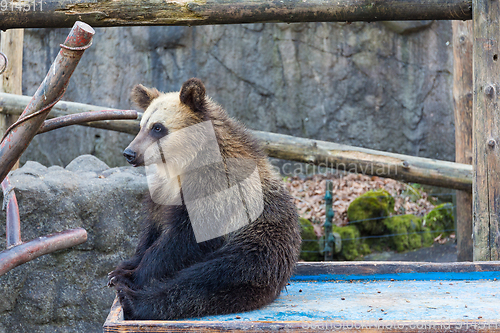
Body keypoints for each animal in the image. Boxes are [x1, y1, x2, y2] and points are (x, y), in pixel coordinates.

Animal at [108, 78, 300, 320]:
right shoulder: (162, 191)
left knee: (210, 279)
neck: (183, 162)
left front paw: (130, 275)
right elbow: (153, 228)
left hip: (259, 244)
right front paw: (123, 266)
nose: (130, 154)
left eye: (158, 128)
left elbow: (182, 241)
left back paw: (134, 300)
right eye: (142, 125)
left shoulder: (216, 188)